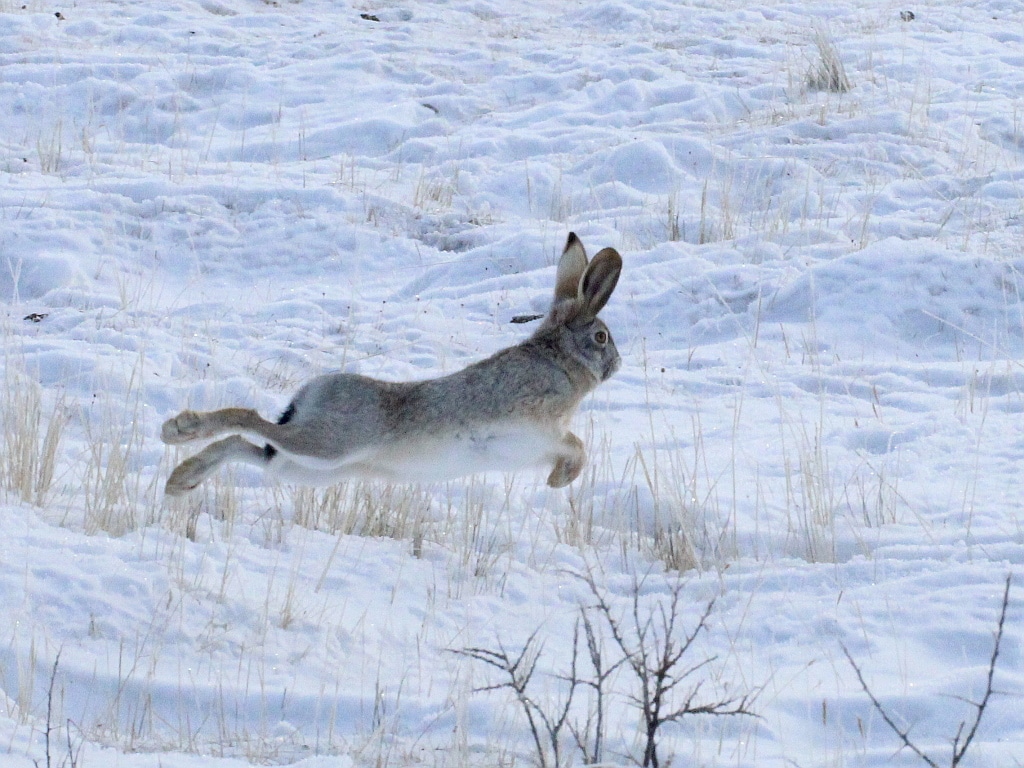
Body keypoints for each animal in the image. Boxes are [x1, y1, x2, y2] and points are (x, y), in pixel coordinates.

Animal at [161, 233, 622, 495]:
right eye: (601, 337)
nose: (617, 363)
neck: (559, 359)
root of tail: (310, 394)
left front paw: (555, 481)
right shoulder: (542, 426)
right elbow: (577, 446)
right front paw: (559, 481)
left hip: (308, 468)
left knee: (247, 447)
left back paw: (181, 480)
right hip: (330, 444)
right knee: (249, 420)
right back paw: (178, 430)